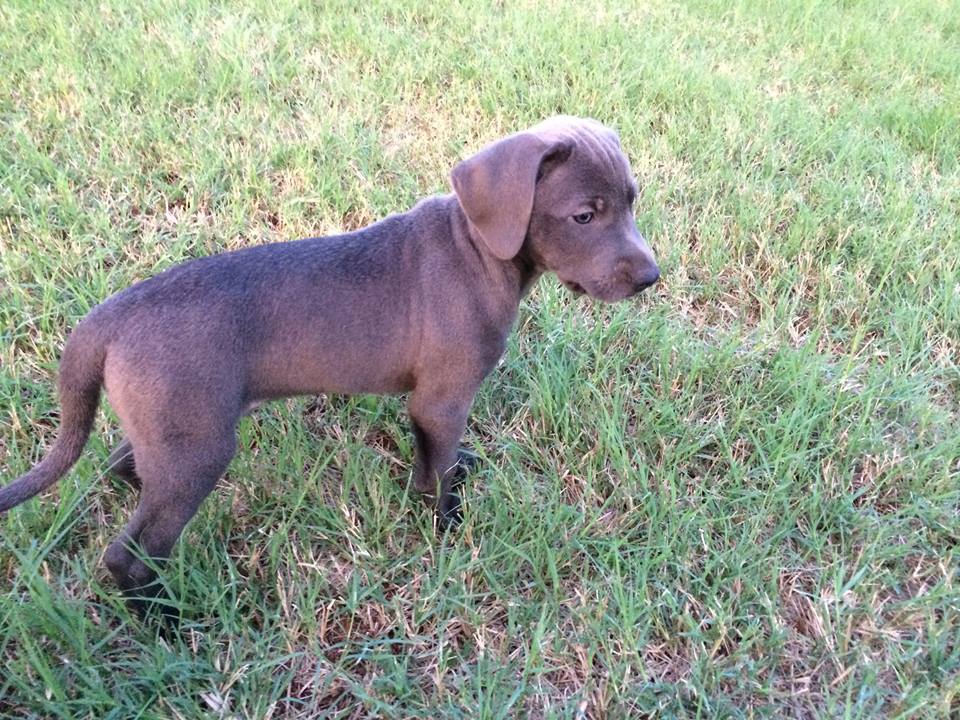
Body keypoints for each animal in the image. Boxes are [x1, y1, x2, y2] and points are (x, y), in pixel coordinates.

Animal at [0, 116, 660, 612]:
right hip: (199, 447)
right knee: (131, 553)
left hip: (175, 426)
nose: (652, 277)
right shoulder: (441, 399)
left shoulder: (428, 407)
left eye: (632, 202)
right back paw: (164, 620)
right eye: (584, 215)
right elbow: (437, 473)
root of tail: (107, 318)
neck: (476, 248)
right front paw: (448, 531)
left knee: (124, 464)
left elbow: (433, 464)